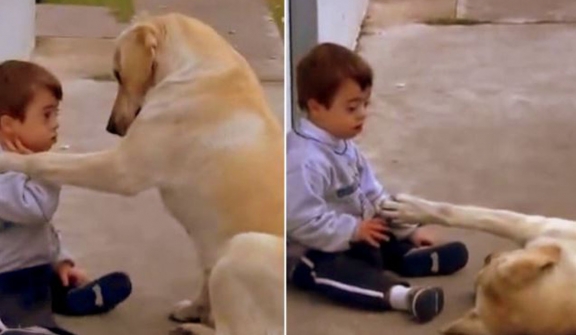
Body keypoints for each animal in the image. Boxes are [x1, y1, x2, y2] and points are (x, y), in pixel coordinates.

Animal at [0, 12, 284, 335]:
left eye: (118, 73)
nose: (111, 128)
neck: (198, 67)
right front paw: (195, 308)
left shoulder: (119, 169)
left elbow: (46, 161)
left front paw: (7, 157)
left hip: (245, 247)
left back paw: (195, 329)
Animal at [382, 194, 576, 335]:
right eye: (495, 262)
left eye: (490, 264)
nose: (487, 257)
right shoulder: (534, 227)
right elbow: (465, 214)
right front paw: (408, 210)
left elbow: (453, 212)